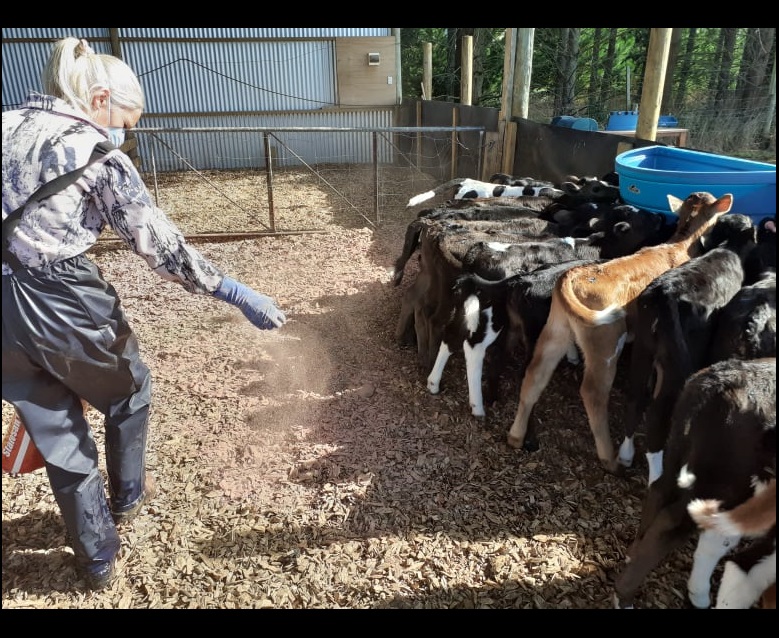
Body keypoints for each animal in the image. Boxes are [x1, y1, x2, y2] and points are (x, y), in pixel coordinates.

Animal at [508, 190, 736, 476]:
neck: (678, 245)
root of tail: (572, 276)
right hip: (605, 341)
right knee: (593, 392)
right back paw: (610, 459)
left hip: (555, 329)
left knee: (535, 373)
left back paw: (516, 436)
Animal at [612, 360, 776, 608]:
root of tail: (720, 381)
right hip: (725, 480)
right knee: (672, 522)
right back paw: (624, 595)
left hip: (679, 448)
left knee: (659, 490)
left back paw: (634, 552)